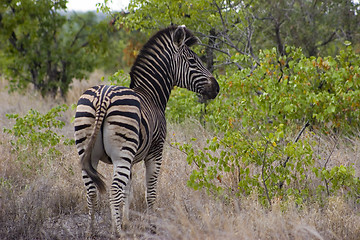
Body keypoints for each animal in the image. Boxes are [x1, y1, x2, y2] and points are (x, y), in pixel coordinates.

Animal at [73, 25, 219, 235]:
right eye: (192, 61)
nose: (217, 88)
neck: (152, 95)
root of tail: (103, 97)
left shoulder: (132, 159)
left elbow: (129, 189)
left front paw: (125, 221)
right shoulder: (155, 151)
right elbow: (150, 191)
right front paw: (151, 225)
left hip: (87, 149)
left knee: (92, 191)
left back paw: (91, 231)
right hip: (122, 153)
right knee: (114, 191)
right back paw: (119, 234)